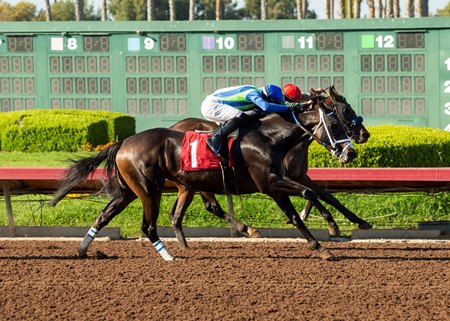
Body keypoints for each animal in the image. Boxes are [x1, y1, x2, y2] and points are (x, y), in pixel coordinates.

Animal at [50, 97, 356, 260]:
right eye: (335, 123)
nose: (351, 151)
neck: (269, 137)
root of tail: (124, 141)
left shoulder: (277, 183)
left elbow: (301, 206)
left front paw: (324, 243)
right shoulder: (269, 183)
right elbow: (307, 196)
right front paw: (325, 241)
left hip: (130, 190)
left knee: (104, 215)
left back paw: (82, 249)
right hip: (150, 189)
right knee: (149, 226)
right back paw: (169, 255)